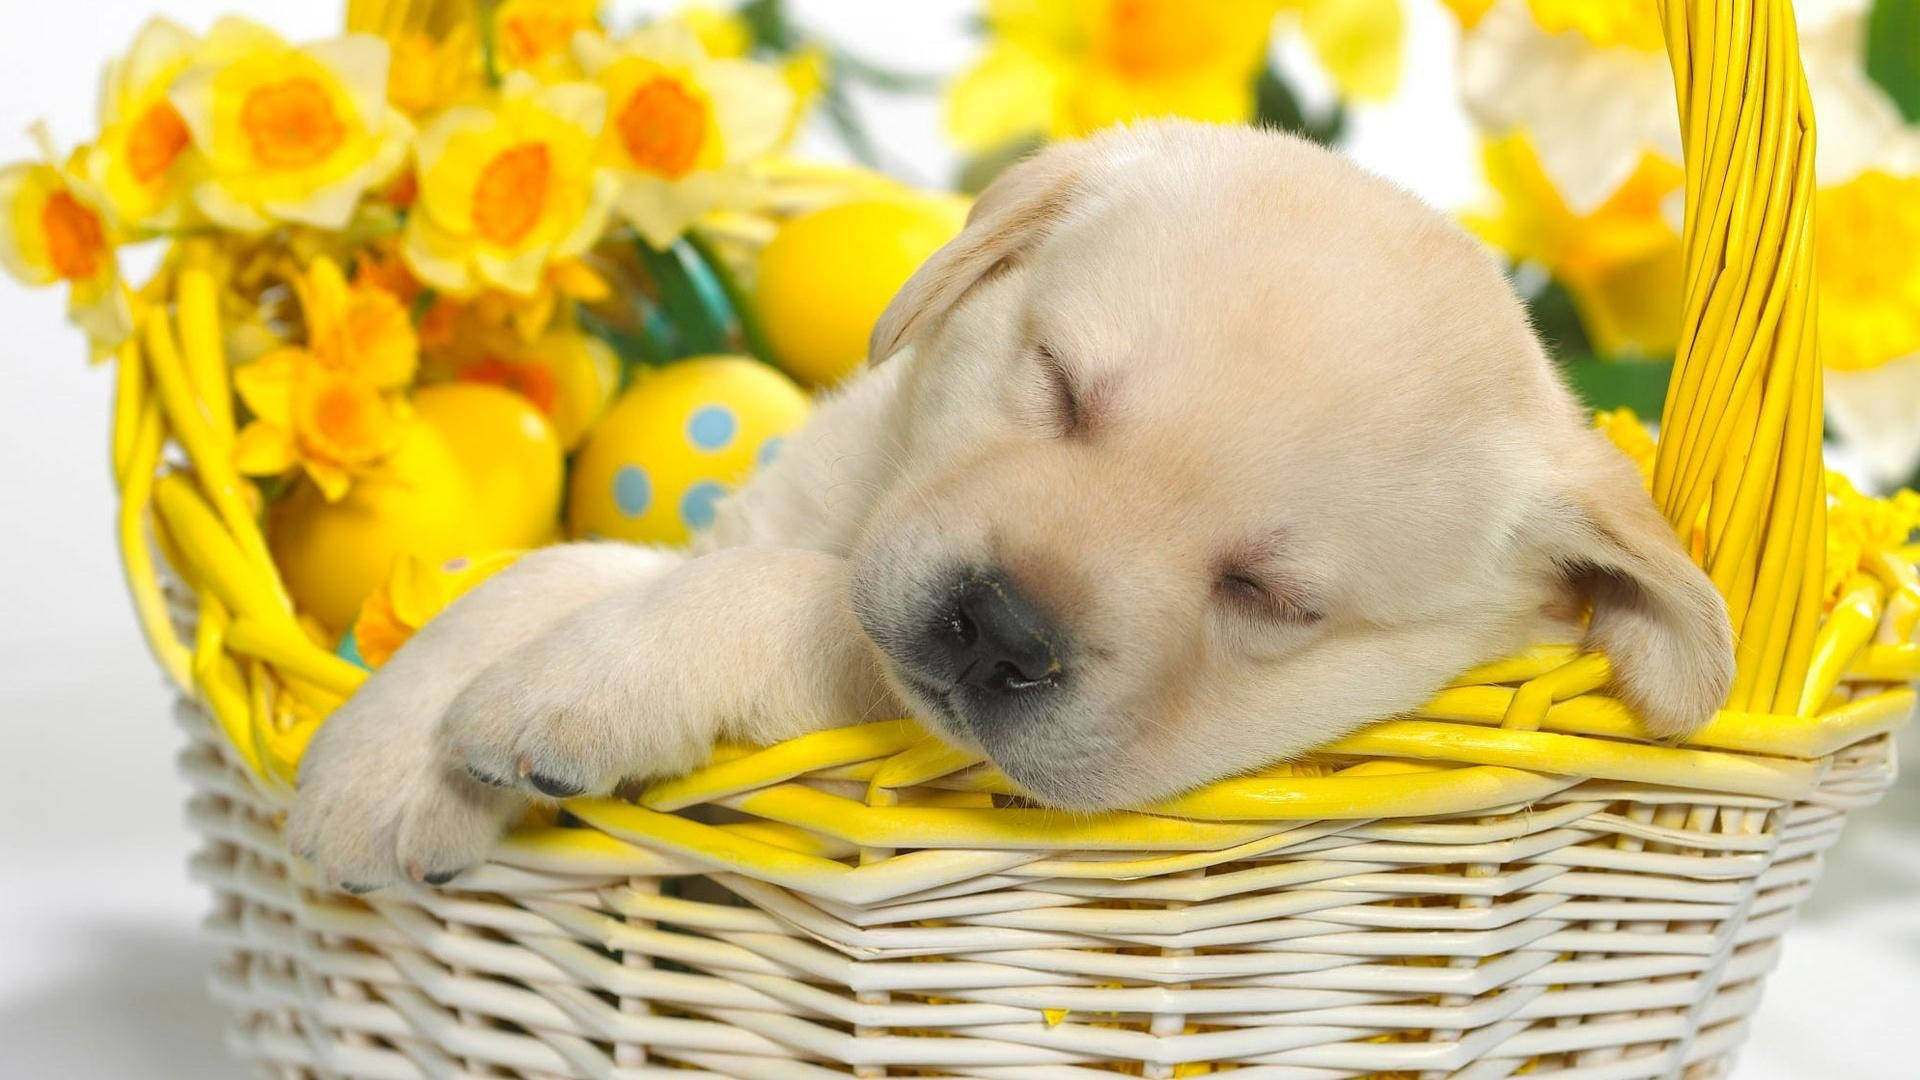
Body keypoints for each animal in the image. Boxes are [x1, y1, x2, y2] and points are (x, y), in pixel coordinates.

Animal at [288, 122, 1743, 887]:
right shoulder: (774, 510)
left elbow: (777, 602)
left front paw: (575, 690)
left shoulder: (872, 703)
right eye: (1058, 384)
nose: (1000, 632)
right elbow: (560, 569)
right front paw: (385, 760)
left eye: (1273, 598)